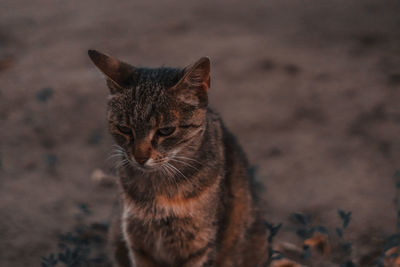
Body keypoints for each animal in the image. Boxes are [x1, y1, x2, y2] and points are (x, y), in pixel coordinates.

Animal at [88, 50, 268, 267]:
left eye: (166, 130)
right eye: (124, 129)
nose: (140, 157)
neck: (159, 191)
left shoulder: (199, 245)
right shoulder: (137, 242)